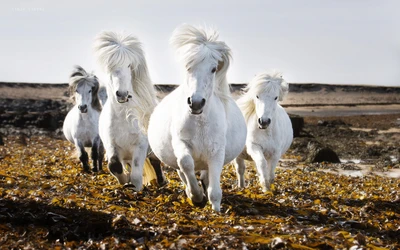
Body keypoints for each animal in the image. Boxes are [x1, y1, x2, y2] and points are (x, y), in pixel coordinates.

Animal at [94, 30, 166, 189]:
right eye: (110, 67)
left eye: (128, 65)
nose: (122, 94)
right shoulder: (112, 145)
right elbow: (114, 166)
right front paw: (125, 181)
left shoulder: (140, 146)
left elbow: (137, 175)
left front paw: (136, 187)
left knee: (154, 161)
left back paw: (161, 181)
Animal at [148, 24, 247, 211]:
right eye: (188, 67)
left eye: (213, 69)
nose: (196, 103)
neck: (200, 123)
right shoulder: (181, 144)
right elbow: (186, 163)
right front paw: (196, 196)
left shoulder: (216, 152)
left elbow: (215, 189)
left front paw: (215, 208)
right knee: (183, 172)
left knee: (206, 176)